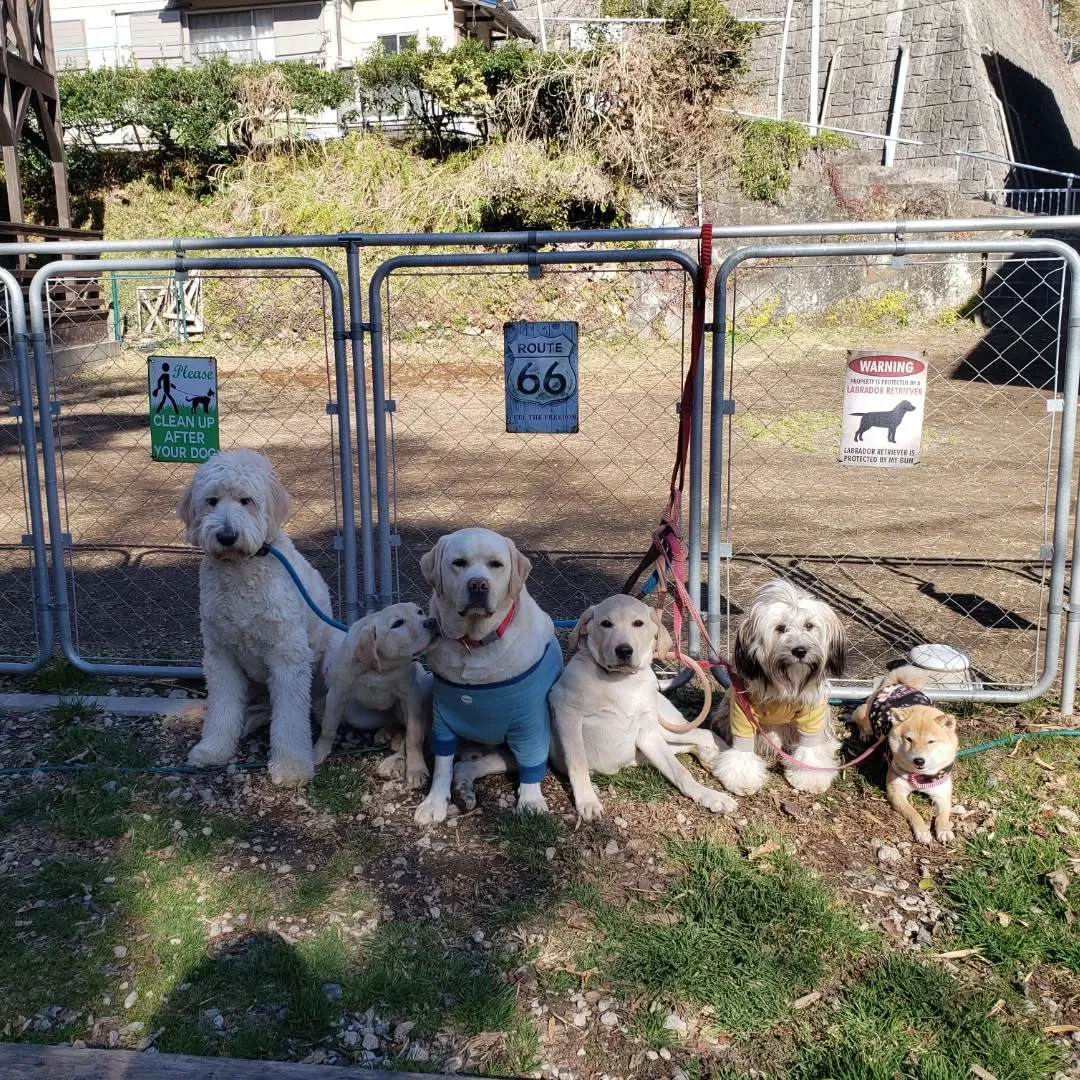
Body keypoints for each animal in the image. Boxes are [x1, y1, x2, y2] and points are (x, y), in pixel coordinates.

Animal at [179, 447, 341, 786]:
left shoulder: (287, 655)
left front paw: (291, 767)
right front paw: (214, 749)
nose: (227, 536)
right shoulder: (220, 655)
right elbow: (223, 708)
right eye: (211, 501)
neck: (241, 570)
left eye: (246, 500)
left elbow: (290, 719)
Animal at [315, 604, 440, 790]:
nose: (432, 621)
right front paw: (319, 751)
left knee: (409, 730)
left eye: (420, 612)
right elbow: (328, 727)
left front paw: (416, 769)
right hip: (358, 716)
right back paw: (385, 732)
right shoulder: (337, 693)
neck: (381, 670)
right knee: (392, 722)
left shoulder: (411, 697)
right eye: (397, 624)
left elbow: (414, 735)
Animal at [414, 527, 561, 820]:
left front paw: (531, 801)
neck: (474, 643)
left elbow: (532, 762)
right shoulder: (443, 715)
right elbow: (442, 764)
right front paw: (434, 802)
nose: (478, 585)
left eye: (496, 564)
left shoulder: (530, 721)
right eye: (458, 563)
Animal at [552, 591, 738, 816]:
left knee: (704, 733)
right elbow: (577, 762)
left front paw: (709, 795)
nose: (624, 651)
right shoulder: (566, 714)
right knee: (692, 743)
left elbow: (681, 771)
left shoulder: (647, 732)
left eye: (638, 623)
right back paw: (711, 759)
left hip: (665, 729)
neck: (621, 682)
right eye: (606, 623)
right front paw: (588, 801)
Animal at [712, 578, 846, 799]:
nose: (800, 650)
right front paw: (742, 778)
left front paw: (810, 777)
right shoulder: (742, 711)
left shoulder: (812, 714)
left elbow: (810, 748)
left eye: (809, 626)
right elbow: (742, 750)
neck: (786, 683)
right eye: (781, 628)